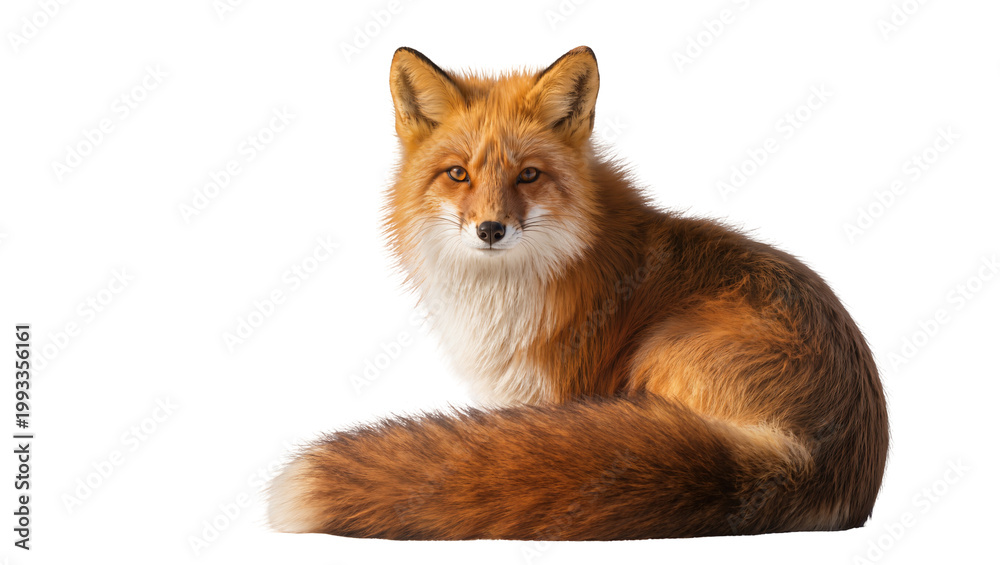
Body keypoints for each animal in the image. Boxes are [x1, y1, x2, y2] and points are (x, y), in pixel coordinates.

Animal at [267, 46, 889, 540]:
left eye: (528, 175)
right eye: (458, 174)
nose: (490, 229)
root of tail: (822, 462)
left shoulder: (560, 390)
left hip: (657, 357)